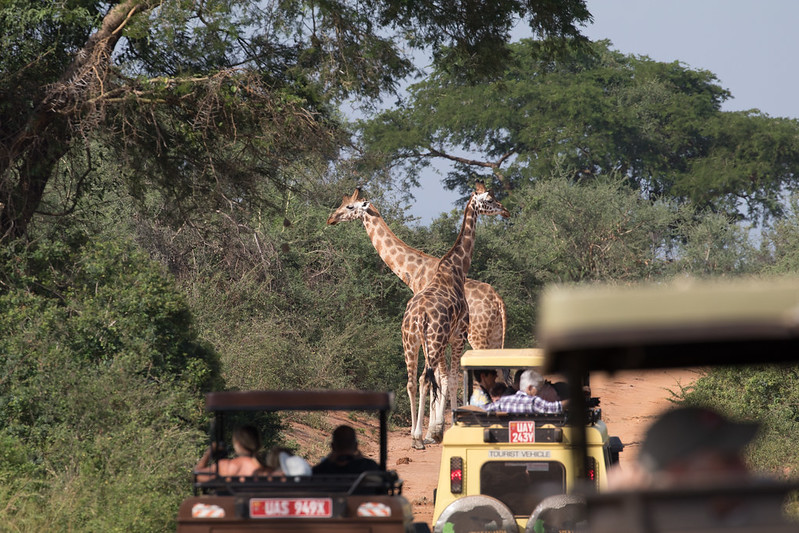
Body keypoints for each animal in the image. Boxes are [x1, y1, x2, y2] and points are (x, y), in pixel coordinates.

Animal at [404, 183, 510, 448]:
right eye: (490, 199)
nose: (505, 211)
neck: (456, 270)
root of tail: (419, 316)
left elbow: (445, 378)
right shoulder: (459, 336)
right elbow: (451, 377)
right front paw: (449, 426)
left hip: (410, 342)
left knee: (412, 381)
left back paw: (414, 436)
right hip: (436, 341)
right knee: (425, 379)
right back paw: (419, 437)